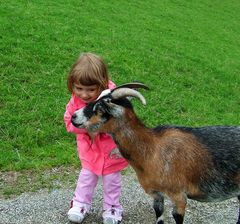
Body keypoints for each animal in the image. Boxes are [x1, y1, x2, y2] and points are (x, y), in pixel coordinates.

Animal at [71, 82, 240, 224]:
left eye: (100, 108)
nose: (73, 116)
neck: (152, 149)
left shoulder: (179, 196)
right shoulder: (156, 194)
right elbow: (159, 216)